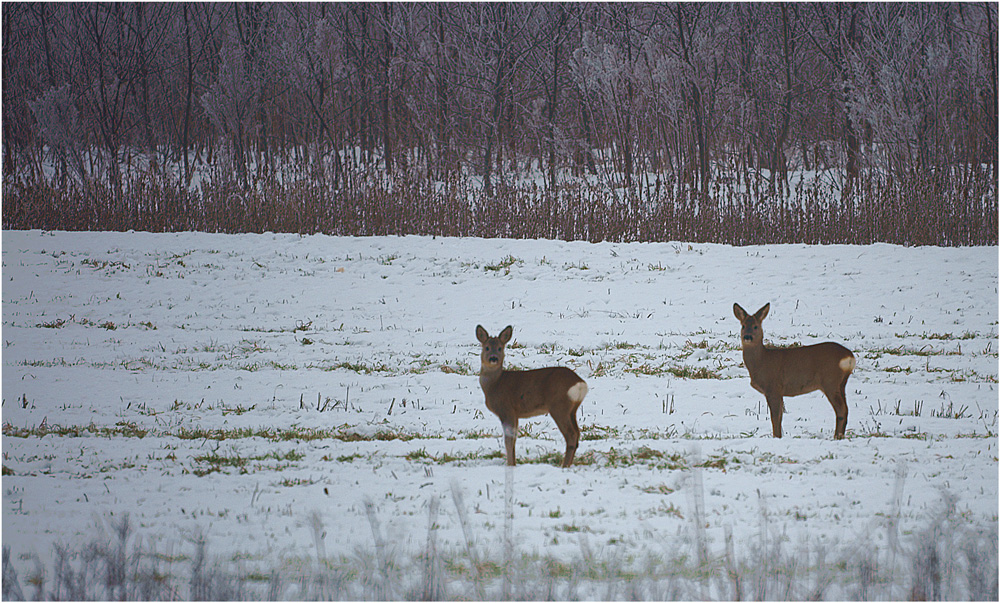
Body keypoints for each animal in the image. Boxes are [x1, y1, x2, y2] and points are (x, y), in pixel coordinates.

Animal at [474, 326, 584, 468]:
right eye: (486, 347)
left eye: (499, 348)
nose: (493, 358)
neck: (494, 384)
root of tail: (580, 383)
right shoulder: (515, 414)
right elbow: (513, 439)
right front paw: (513, 463)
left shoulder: (506, 410)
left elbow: (508, 440)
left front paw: (510, 464)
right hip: (572, 409)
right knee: (577, 433)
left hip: (559, 406)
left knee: (571, 434)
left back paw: (564, 466)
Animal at [732, 304, 856, 442]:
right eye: (743, 326)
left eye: (755, 326)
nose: (747, 337)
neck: (762, 361)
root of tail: (849, 356)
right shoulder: (779, 391)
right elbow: (780, 417)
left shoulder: (773, 388)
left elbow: (775, 417)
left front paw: (776, 437)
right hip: (841, 383)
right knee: (846, 408)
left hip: (830, 381)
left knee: (841, 409)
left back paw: (837, 437)